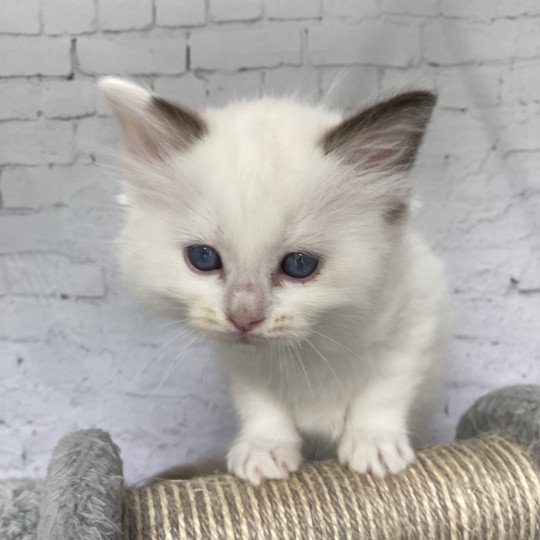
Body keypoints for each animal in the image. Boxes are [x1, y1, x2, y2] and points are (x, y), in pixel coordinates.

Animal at [99, 77, 450, 486]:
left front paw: (373, 446)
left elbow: (384, 390)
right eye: (203, 258)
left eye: (299, 265)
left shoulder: (418, 319)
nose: (243, 318)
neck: (308, 348)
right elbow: (261, 406)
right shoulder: (238, 360)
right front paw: (264, 451)